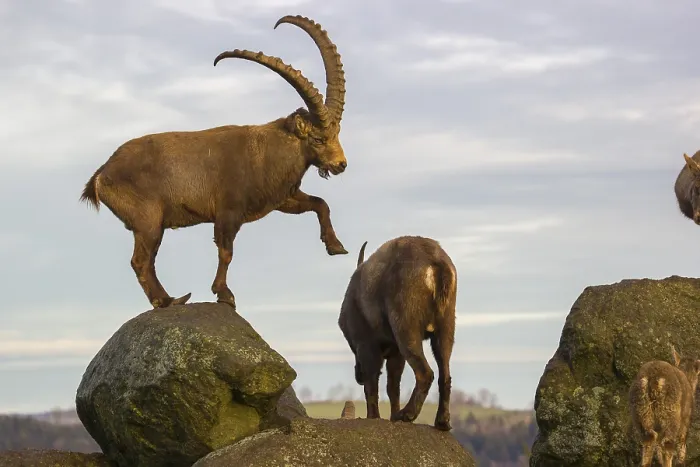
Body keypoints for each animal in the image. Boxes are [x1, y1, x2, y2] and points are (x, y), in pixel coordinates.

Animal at [79, 15, 349, 310]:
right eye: (318, 138)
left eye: (337, 133)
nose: (341, 164)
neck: (268, 151)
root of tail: (102, 175)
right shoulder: (228, 211)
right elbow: (226, 251)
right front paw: (224, 294)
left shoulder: (281, 199)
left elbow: (320, 204)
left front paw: (336, 246)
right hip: (148, 221)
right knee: (141, 261)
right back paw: (169, 300)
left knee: (145, 262)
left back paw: (172, 299)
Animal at [337, 236, 457, 431]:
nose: (358, 375)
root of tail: (435, 261)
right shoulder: (395, 354)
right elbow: (393, 386)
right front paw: (393, 416)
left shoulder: (366, 346)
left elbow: (372, 384)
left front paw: (374, 417)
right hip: (445, 330)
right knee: (444, 375)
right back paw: (442, 422)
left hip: (406, 330)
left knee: (425, 373)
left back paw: (407, 414)